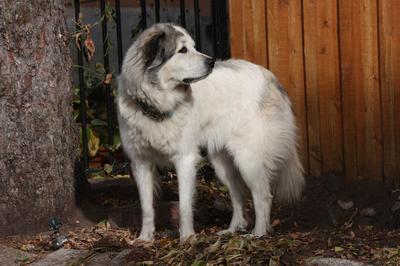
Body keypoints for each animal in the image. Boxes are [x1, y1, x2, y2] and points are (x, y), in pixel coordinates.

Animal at [117, 23, 304, 241]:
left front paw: (187, 238)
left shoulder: (185, 159)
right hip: (222, 164)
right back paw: (232, 229)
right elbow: (146, 207)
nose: (211, 62)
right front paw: (145, 238)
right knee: (238, 195)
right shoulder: (141, 162)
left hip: (247, 159)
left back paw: (258, 234)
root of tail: (270, 78)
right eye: (182, 50)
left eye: (193, 46)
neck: (157, 106)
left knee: (262, 196)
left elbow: (184, 205)